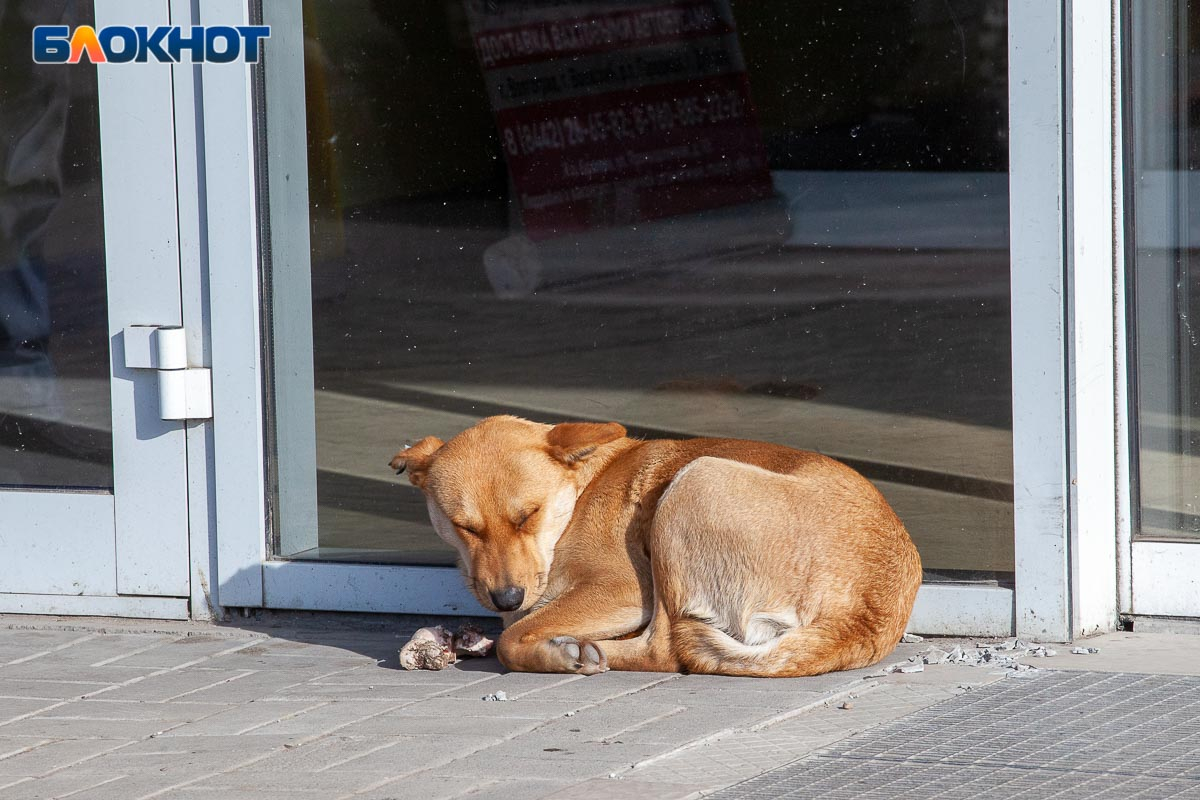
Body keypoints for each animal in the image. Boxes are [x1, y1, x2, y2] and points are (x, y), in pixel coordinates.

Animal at [388, 419, 921, 676]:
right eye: (465, 527)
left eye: (527, 515)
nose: (506, 599)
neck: (580, 489)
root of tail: (863, 619)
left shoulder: (621, 590)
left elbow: (512, 639)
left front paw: (548, 647)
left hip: (691, 487)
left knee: (665, 650)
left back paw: (583, 652)